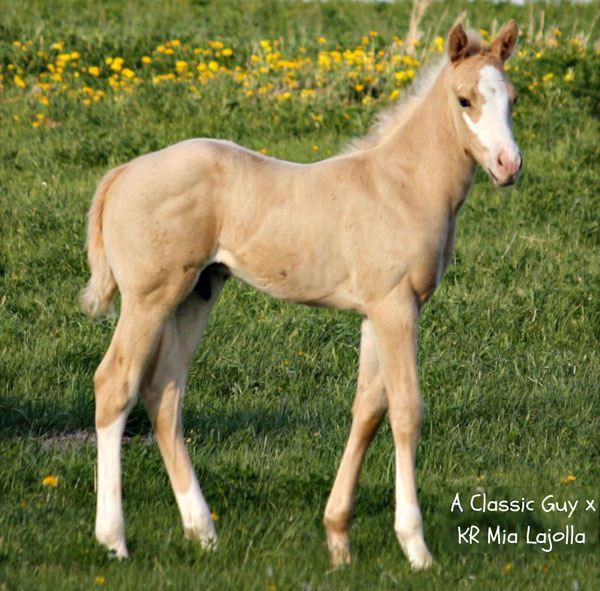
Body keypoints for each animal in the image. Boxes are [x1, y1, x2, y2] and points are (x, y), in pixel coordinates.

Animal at [82, 22, 524, 568]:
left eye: (512, 98)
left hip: (196, 294)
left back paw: (203, 532)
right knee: (115, 385)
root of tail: (120, 174)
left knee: (163, 391)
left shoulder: (374, 312)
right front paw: (416, 546)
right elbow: (405, 410)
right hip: (149, 299)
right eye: (464, 99)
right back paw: (114, 539)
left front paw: (338, 539)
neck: (401, 186)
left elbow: (367, 410)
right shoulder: (396, 306)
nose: (508, 166)